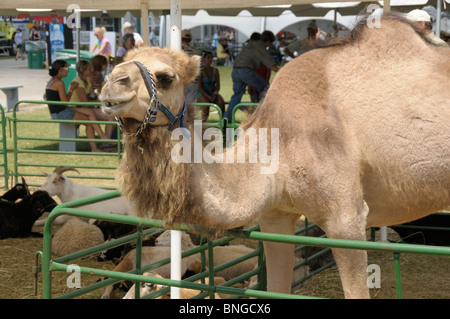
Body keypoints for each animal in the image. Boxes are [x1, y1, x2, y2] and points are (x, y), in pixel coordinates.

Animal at [99, 14, 450, 300]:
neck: (276, 144)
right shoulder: (275, 217)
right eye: (118, 63)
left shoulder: (346, 220)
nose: (112, 83)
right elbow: (278, 287)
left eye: (166, 77)